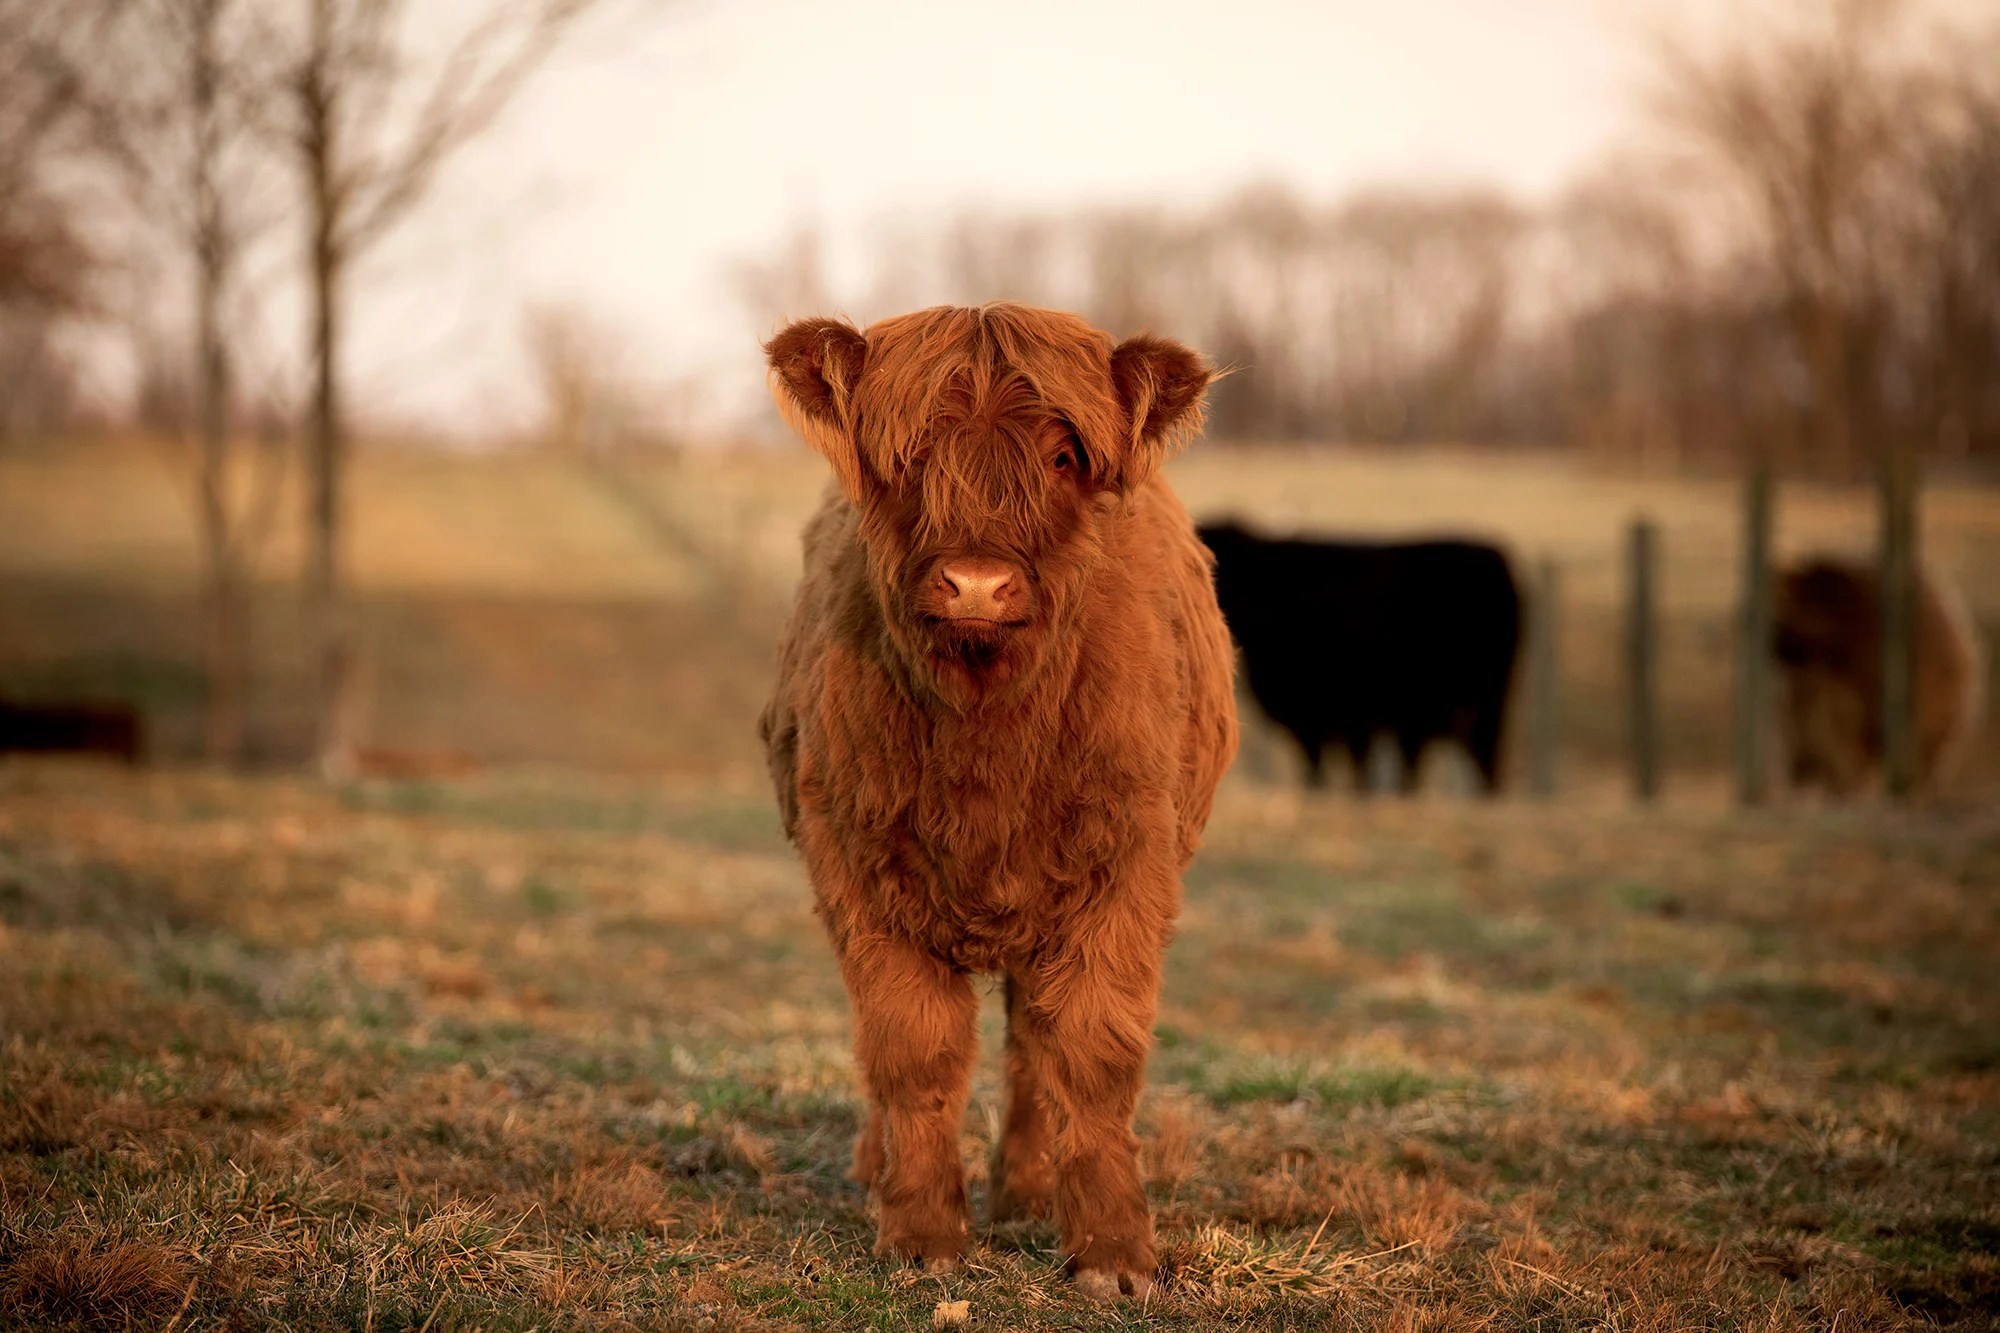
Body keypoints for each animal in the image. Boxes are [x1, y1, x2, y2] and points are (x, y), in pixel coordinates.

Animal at [758, 303, 1237, 1300]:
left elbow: (1090, 1054)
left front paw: (1113, 1254)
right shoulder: (857, 870)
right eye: (907, 454)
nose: (975, 584)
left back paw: (1026, 1191)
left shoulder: (1124, 870)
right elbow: (912, 1050)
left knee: (1029, 1044)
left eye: (1062, 455)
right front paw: (920, 1233)